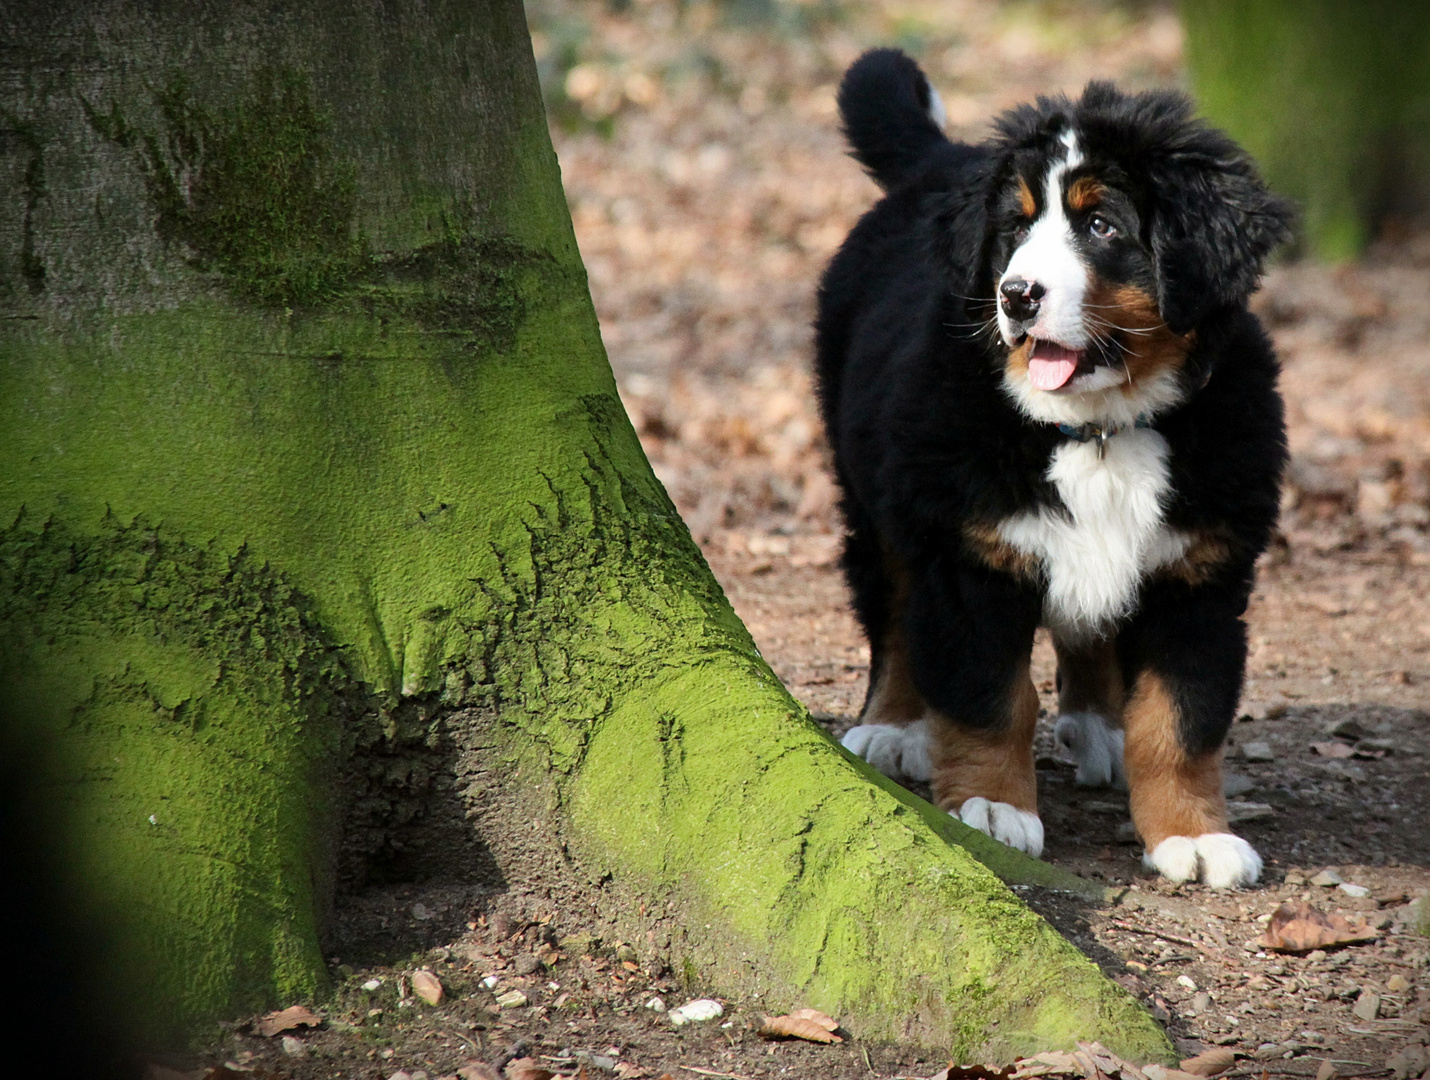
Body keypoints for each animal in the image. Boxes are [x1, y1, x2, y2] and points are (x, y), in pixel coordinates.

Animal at [817, 50, 1298, 886]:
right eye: (1014, 229)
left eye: (1102, 225)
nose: (1016, 296)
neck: (1099, 429)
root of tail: (941, 161)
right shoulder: (970, 557)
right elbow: (987, 697)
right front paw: (991, 807)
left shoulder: (1198, 576)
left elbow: (1180, 720)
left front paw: (1193, 834)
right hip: (877, 495)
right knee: (894, 613)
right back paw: (892, 727)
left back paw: (1099, 723)